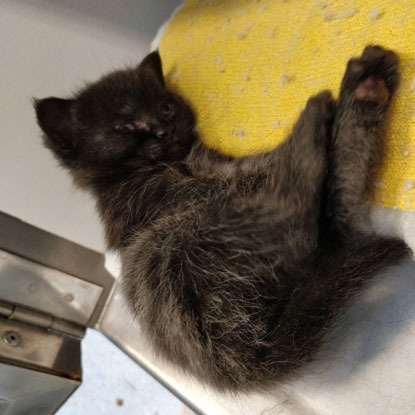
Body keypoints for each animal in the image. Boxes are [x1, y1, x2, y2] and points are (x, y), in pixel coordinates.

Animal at [35, 47, 410, 392]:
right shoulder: (169, 196)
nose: (162, 129)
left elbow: (268, 167)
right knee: (298, 219)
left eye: (165, 107)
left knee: (332, 215)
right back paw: (319, 115)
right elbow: (268, 171)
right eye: (126, 125)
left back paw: (365, 89)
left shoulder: (223, 169)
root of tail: (244, 365)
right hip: (175, 244)